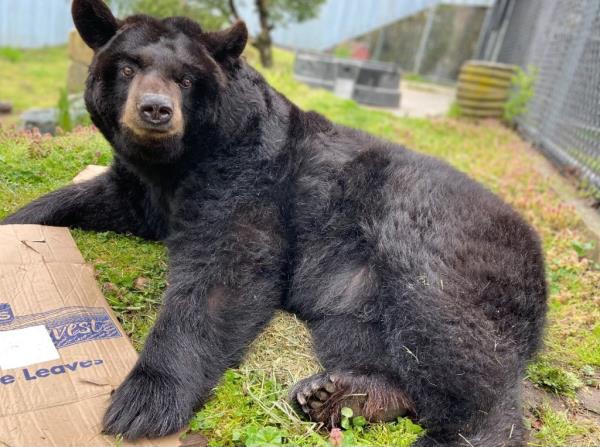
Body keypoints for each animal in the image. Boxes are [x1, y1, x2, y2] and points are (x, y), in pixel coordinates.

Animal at [1, 1, 548, 446]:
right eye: (128, 66)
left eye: (186, 79)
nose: (155, 110)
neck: (179, 161)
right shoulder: (145, 187)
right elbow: (95, 198)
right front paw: (20, 220)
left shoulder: (251, 174)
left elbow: (230, 268)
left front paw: (143, 400)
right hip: (354, 293)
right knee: (371, 339)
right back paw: (343, 393)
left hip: (442, 245)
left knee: (453, 337)